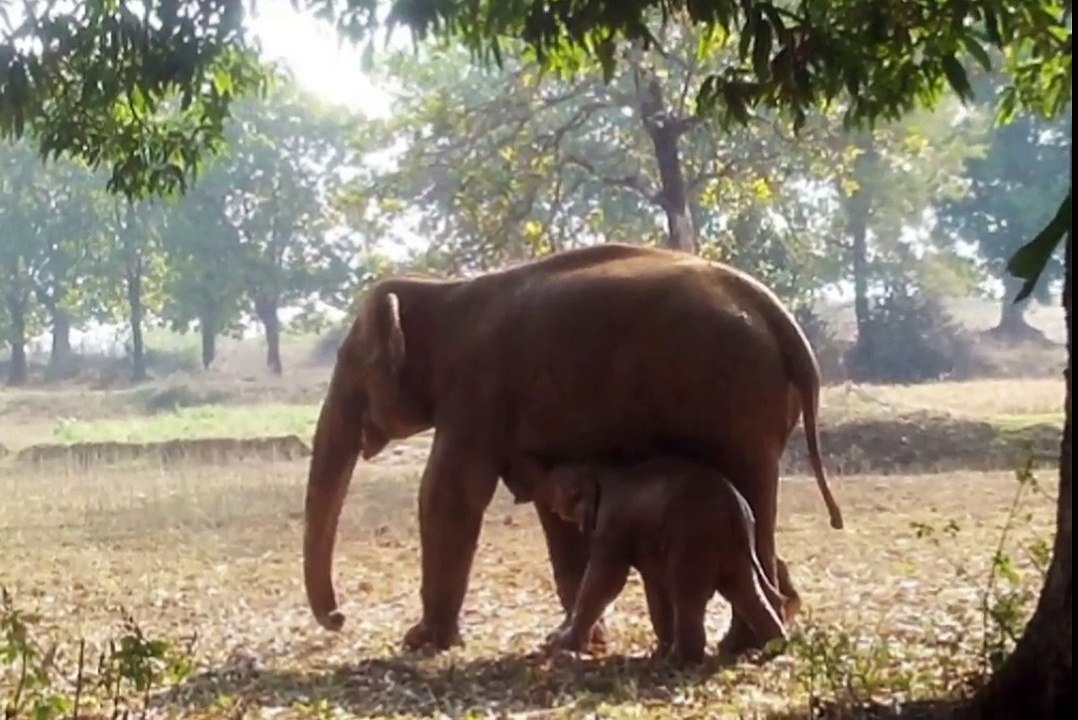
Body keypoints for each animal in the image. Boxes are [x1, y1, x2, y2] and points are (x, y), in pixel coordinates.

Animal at [507, 454, 790, 666]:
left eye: (557, 485)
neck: (597, 471)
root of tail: (736, 507)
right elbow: (654, 582)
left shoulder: (613, 524)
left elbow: (607, 579)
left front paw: (563, 646)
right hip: (731, 545)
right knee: (744, 590)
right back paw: (776, 648)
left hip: (694, 537)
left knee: (688, 594)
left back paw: (679, 662)